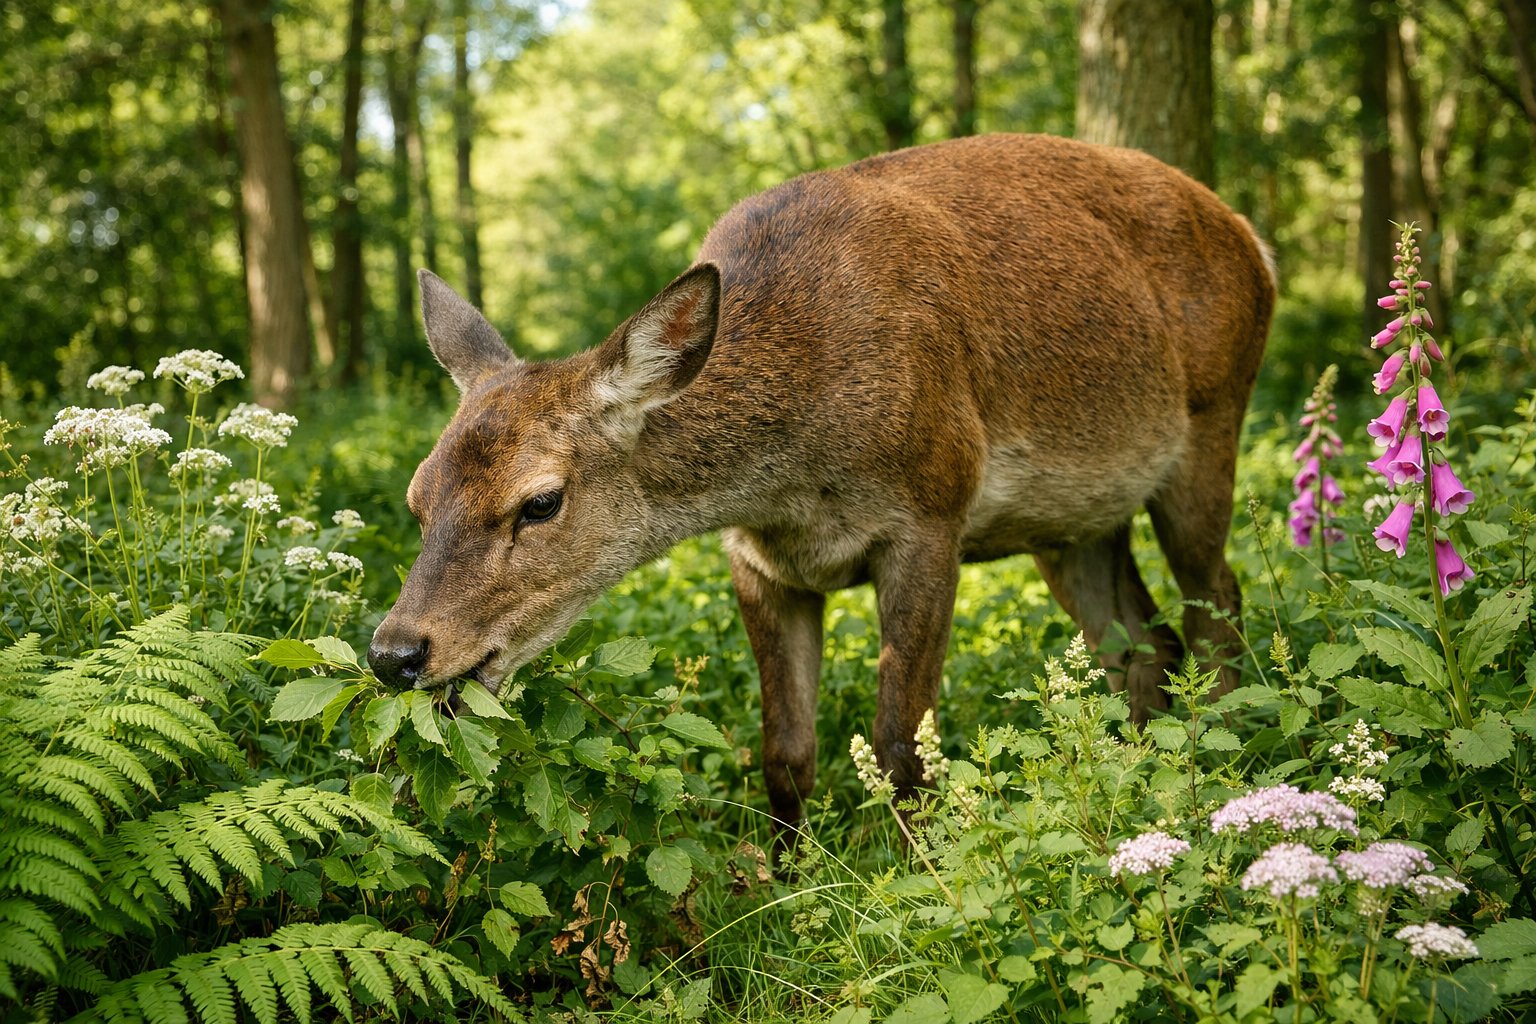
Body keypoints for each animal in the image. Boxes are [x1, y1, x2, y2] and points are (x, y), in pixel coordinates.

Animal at [368, 133, 1275, 833]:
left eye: (541, 501)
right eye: (417, 497)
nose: (396, 652)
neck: (798, 469)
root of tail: (1254, 240)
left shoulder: (934, 510)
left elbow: (902, 750)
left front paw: (916, 886)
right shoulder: (759, 558)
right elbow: (784, 754)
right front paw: (784, 886)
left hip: (1213, 425)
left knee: (1218, 607)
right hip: (1071, 523)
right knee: (1141, 644)